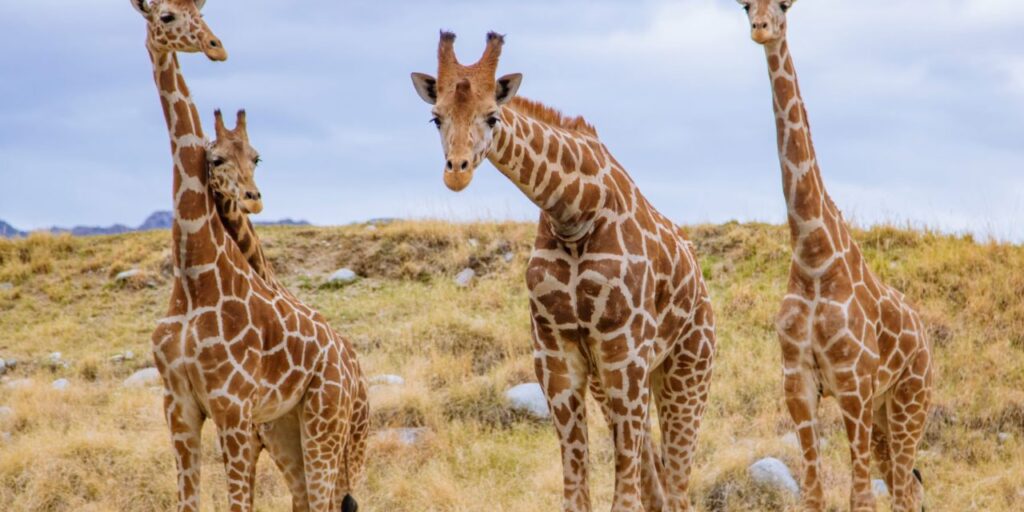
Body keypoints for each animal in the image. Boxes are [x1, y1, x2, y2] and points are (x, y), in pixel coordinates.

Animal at [411, 32, 717, 512]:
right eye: (435, 117)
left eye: (493, 116)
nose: (456, 173)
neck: (574, 213)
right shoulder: (556, 356)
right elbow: (578, 491)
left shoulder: (626, 351)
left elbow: (624, 496)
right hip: (615, 381)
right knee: (659, 483)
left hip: (686, 372)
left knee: (679, 486)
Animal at [736, 2, 933, 511]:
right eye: (744, 6)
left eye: (783, 5)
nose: (760, 29)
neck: (812, 255)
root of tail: (927, 342)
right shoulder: (798, 380)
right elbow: (813, 491)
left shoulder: (852, 383)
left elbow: (859, 495)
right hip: (884, 414)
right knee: (907, 485)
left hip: (909, 402)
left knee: (904, 487)